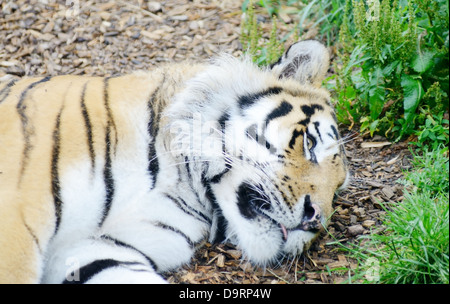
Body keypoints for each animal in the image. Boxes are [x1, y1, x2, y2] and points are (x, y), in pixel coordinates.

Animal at [0, 39, 348, 282]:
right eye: (310, 143)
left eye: (338, 188)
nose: (315, 221)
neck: (182, 180)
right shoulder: (15, 225)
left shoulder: (96, 248)